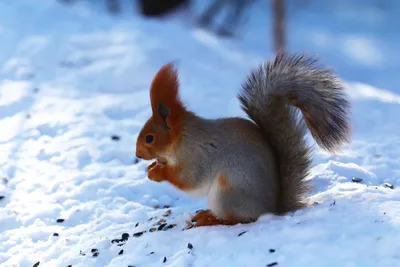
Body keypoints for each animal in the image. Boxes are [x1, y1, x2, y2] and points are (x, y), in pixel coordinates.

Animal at [136, 52, 352, 228]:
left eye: (150, 138)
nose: (137, 154)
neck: (182, 139)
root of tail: (271, 208)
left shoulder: (198, 156)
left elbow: (188, 179)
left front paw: (157, 173)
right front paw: (152, 167)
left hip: (227, 193)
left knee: (237, 219)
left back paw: (211, 219)